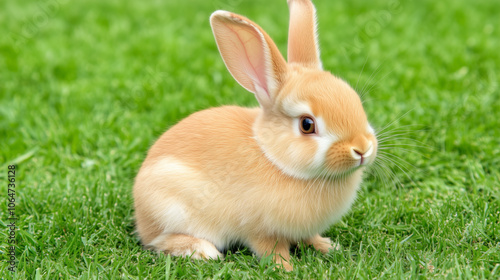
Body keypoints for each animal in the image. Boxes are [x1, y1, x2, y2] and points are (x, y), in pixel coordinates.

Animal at [133, 0, 376, 272]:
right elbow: (271, 249)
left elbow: (309, 237)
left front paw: (328, 246)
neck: (275, 159)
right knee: (158, 241)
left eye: (355, 100)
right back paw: (203, 251)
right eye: (307, 124)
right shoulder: (260, 230)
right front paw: (286, 268)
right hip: (171, 209)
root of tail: (140, 213)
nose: (362, 149)